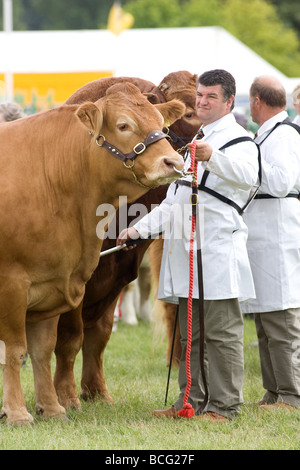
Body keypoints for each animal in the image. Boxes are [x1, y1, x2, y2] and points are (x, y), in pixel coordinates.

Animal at [0, 81, 184, 426]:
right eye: (124, 125)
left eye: (161, 124)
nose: (174, 163)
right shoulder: (12, 285)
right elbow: (15, 350)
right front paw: (17, 412)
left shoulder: (51, 284)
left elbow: (42, 349)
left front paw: (51, 408)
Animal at [53, 71, 200, 406]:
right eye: (188, 114)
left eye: (161, 122)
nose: (173, 163)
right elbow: (70, 338)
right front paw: (66, 396)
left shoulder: (116, 277)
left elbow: (99, 336)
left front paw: (96, 391)